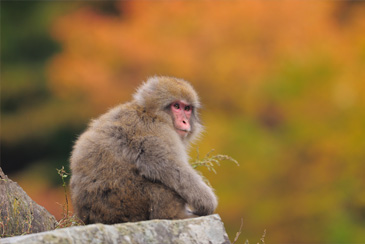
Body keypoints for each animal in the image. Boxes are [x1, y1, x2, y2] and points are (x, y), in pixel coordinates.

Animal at [69, 75, 218, 224]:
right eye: (176, 106)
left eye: (187, 108)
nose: (185, 122)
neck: (150, 113)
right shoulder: (157, 130)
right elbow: (166, 166)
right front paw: (207, 202)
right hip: (128, 201)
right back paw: (175, 215)